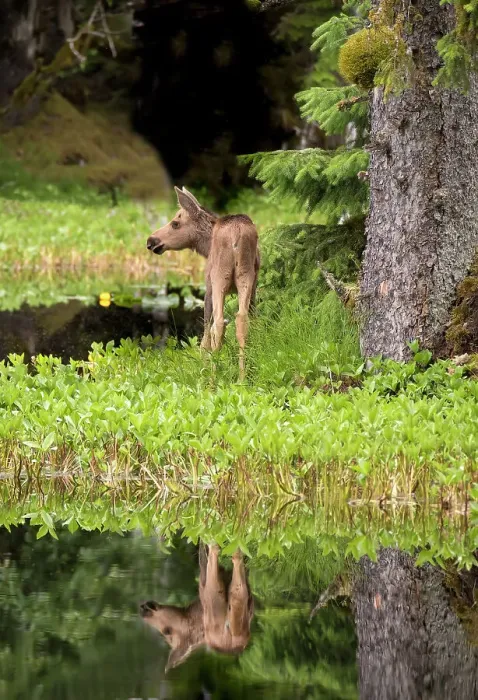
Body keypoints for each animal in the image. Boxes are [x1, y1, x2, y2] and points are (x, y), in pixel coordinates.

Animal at [146, 187, 260, 379]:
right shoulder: (254, 289)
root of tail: (236, 234)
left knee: (219, 323)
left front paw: (204, 365)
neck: (205, 249)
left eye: (175, 223)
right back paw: (242, 376)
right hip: (246, 275)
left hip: (219, 277)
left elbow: (205, 335)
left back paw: (213, 378)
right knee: (241, 319)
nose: (151, 241)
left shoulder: (207, 288)